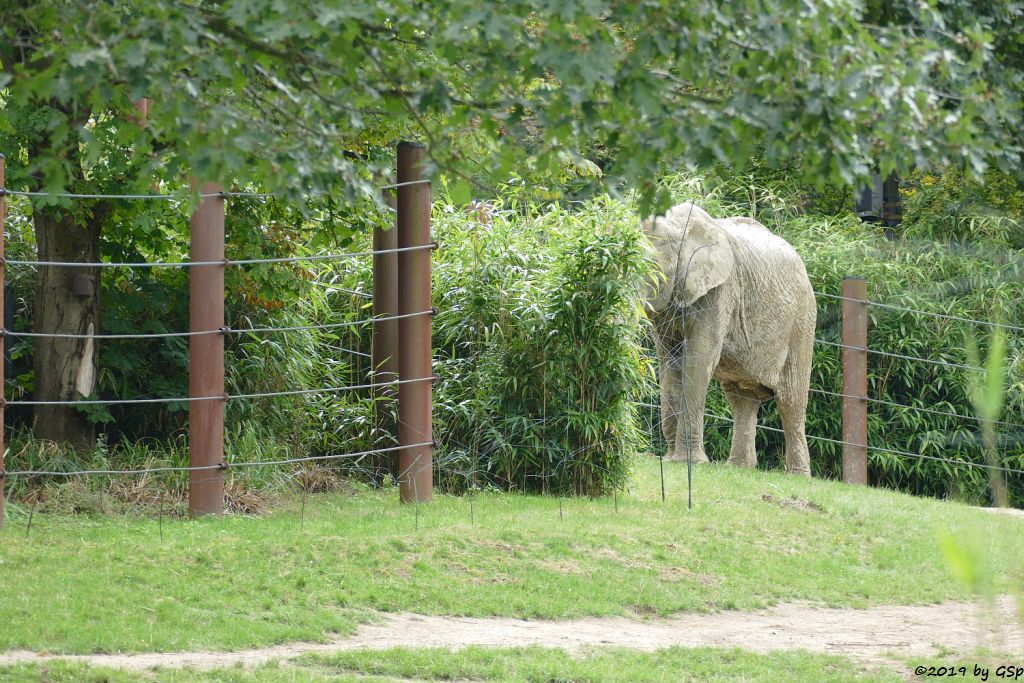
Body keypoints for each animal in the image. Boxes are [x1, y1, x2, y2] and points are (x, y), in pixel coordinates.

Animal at [638, 202, 815, 475]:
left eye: (647, 267)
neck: (676, 227)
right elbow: (669, 361)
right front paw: (670, 460)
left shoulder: (721, 290)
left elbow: (699, 359)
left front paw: (689, 463)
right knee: (741, 399)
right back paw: (740, 468)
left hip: (802, 320)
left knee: (790, 400)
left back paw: (798, 476)